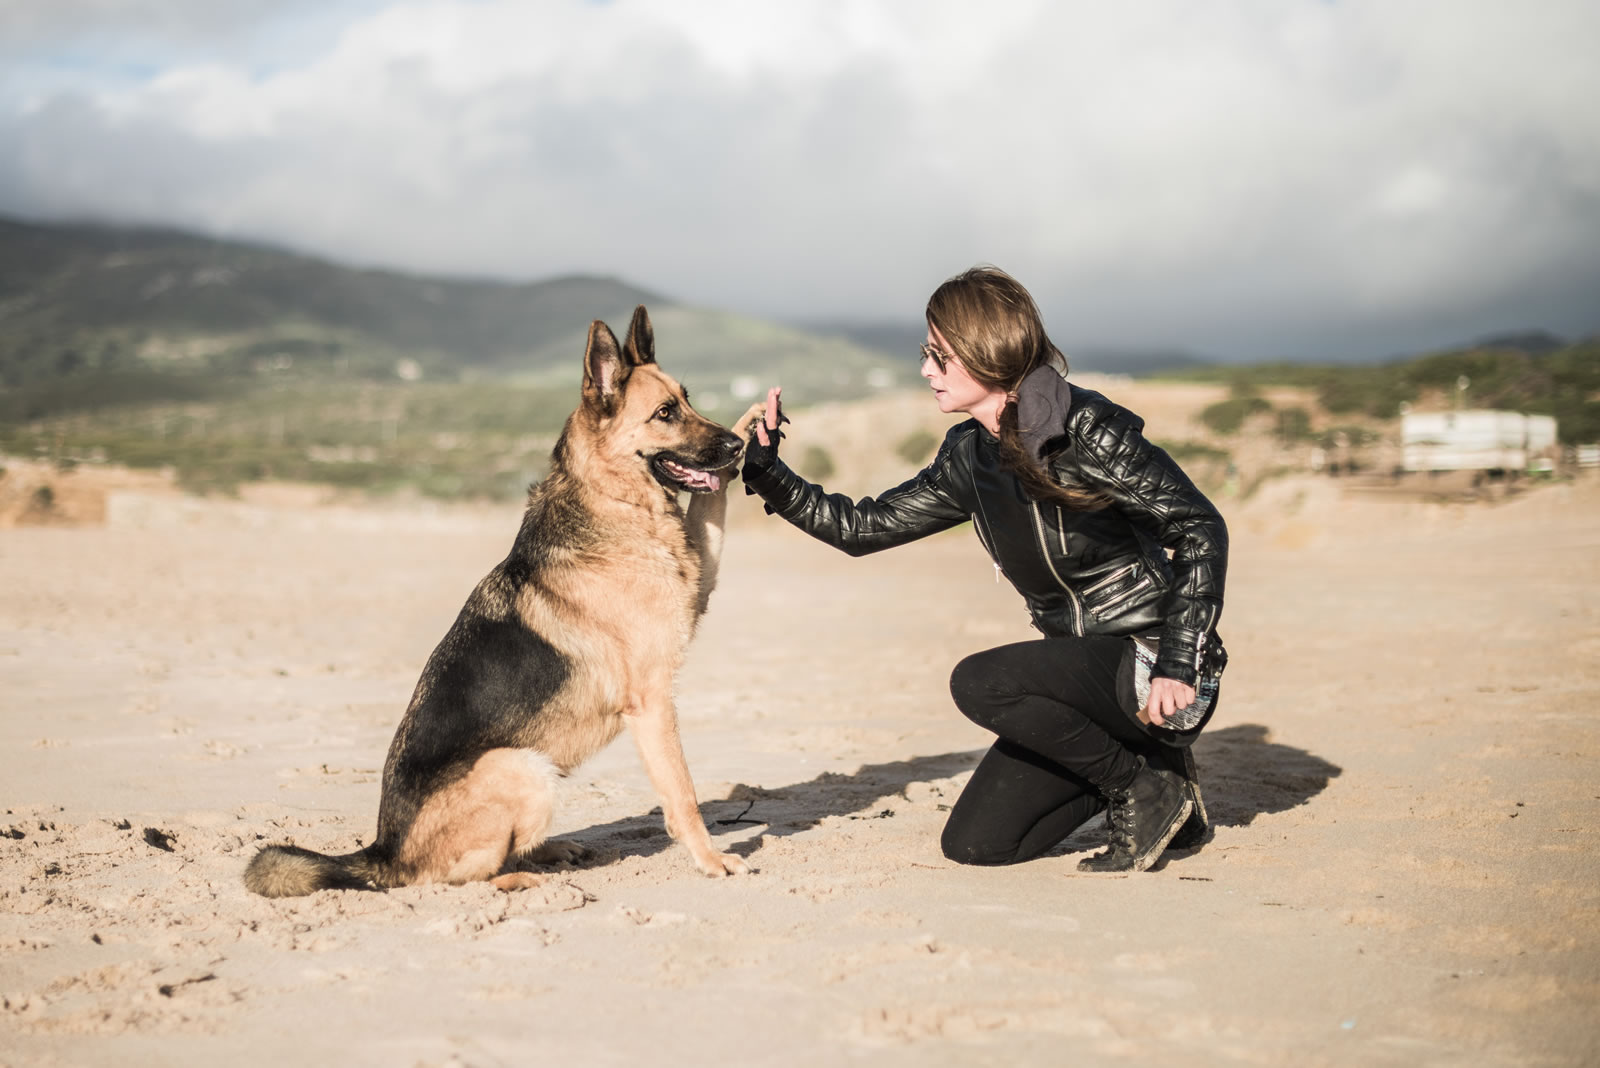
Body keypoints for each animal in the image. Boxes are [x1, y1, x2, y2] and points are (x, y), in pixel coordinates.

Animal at [246, 306, 758, 895]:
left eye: (688, 399)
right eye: (665, 413)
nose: (735, 448)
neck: (608, 494)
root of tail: (383, 853)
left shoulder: (697, 587)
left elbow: (710, 508)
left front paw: (754, 421)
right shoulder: (652, 703)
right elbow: (683, 793)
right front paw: (711, 859)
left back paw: (551, 851)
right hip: (521, 766)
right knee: (460, 878)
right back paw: (526, 880)